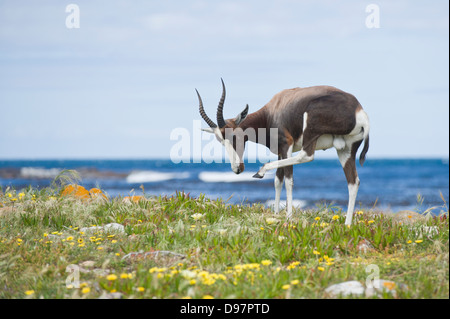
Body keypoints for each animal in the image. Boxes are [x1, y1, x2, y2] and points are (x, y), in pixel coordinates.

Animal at [197, 79, 370, 226]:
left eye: (234, 135)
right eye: (220, 141)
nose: (237, 169)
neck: (273, 111)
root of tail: (359, 111)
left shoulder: (287, 145)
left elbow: (288, 180)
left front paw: (288, 216)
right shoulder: (281, 151)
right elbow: (277, 180)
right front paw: (275, 214)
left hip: (311, 133)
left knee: (306, 156)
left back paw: (261, 172)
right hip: (346, 150)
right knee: (353, 182)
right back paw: (347, 224)